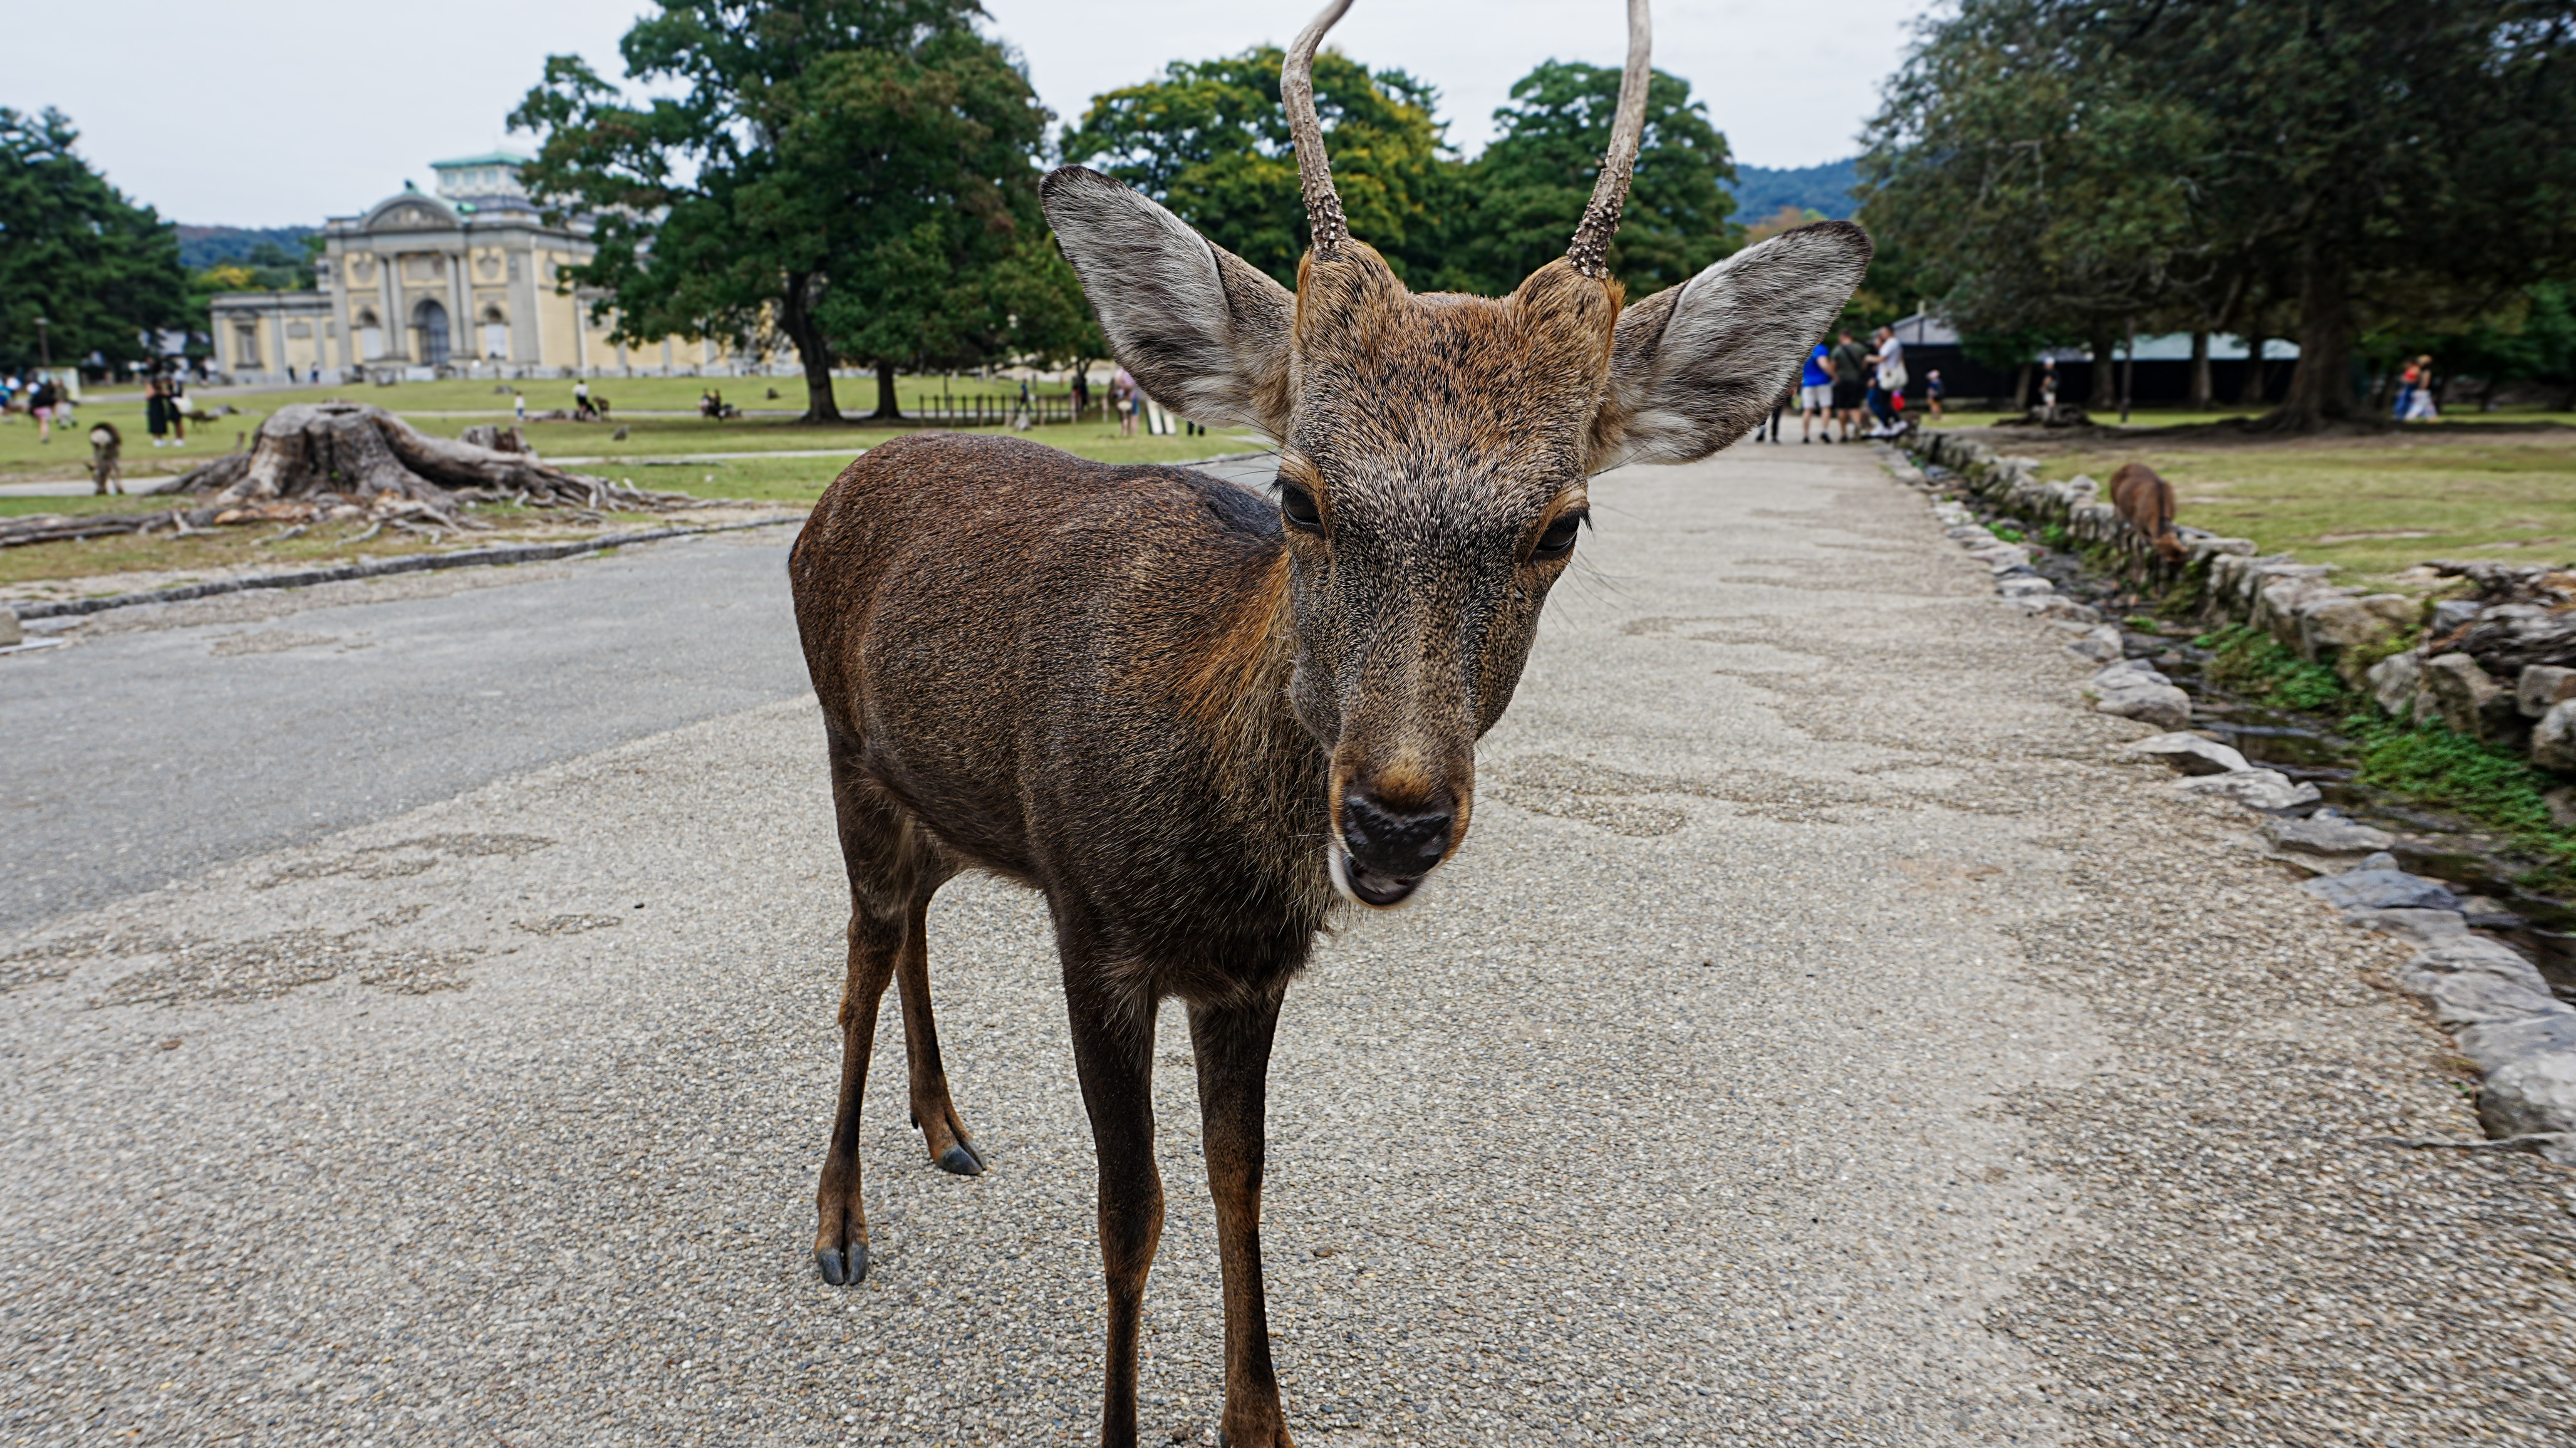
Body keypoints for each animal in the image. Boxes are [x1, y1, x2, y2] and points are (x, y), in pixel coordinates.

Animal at [783, 2, 1875, 1432]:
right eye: (1298, 492)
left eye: (1563, 523)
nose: (1395, 816)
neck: (1219, 859)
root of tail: (830, 494)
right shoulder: (1096, 925)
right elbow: (1130, 1212)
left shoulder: (1246, 971)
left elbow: (1240, 1179)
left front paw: (1262, 1420)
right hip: (847, 757)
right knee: (859, 963)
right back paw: (838, 1224)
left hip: (948, 802)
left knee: (914, 923)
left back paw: (949, 1129)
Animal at [2102, 458, 2184, 562]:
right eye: (2168, 561)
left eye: (2185, 557)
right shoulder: (2140, 523)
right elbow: (2141, 548)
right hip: (2117, 506)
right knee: (2119, 533)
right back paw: (2119, 560)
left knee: (2127, 536)